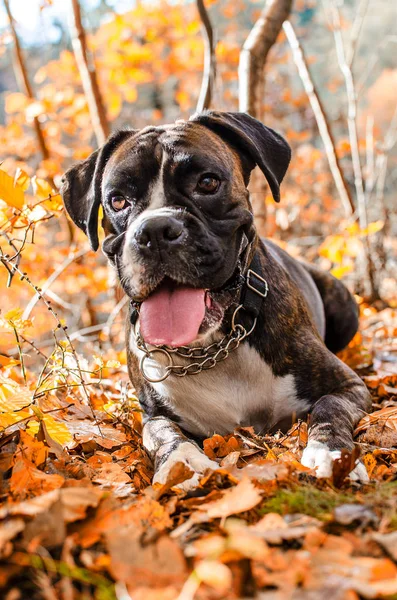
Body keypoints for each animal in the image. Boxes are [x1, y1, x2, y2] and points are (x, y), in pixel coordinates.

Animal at [60, 111, 370, 488]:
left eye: (207, 183)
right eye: (118, 201)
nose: (155, 230)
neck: (213, 347)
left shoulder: (348, 387)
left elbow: (328, 410)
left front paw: (331, 454)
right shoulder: (152, 416)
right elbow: (164, 435)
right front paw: (182, 462)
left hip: (346, 306)